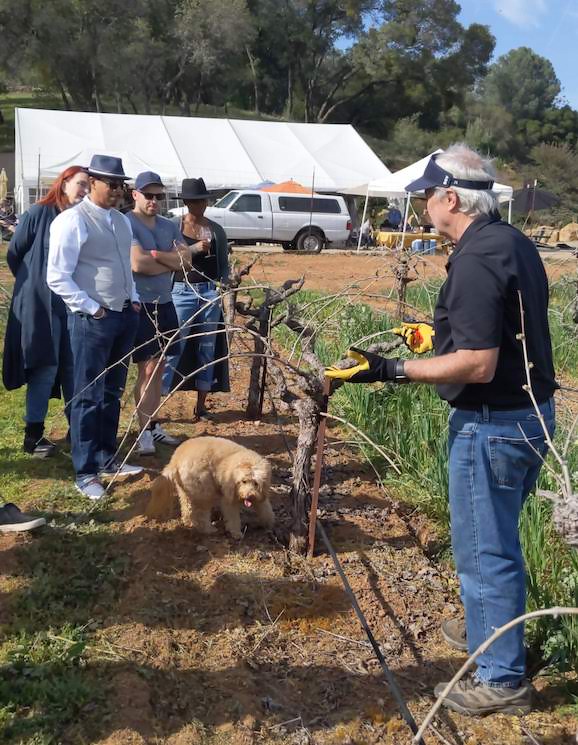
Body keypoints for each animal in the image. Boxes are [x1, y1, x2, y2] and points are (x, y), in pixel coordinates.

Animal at [147, 434, 276, 536]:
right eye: (243, 481)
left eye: (256, 483)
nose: (249, 496)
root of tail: (175, 460)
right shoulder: (228, 497)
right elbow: (233, 516)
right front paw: (236, 533)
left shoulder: (261, 494)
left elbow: (265, 508)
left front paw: (269, 523)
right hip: (204, 491)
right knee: (201, 514)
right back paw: (208, 529)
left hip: (185, 490)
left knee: (187, 510)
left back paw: (190, 523)